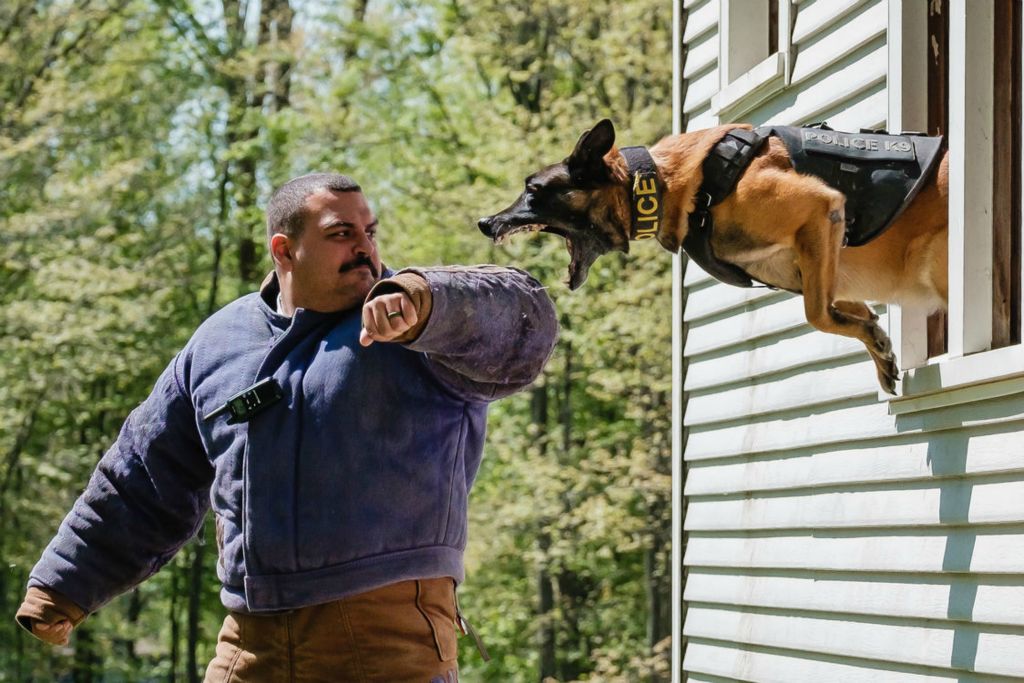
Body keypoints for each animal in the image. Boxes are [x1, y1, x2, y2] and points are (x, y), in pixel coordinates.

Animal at [479, 120, 950, 393]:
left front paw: (872, 337)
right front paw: (878, 345)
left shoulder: (820, 209)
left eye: (533, 190)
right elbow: (845, 307)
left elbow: (816, 314)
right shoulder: (814, 260)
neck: (662, 182)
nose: (485, 222)